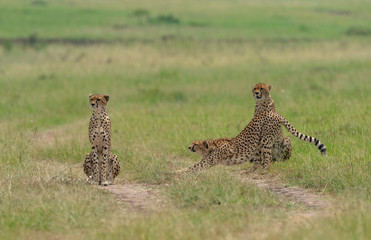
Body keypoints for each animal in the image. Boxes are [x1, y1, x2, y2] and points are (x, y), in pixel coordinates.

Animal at [179, 109, 326, 173]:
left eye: (195, 144)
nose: (189, 147)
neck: (212, 146)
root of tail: (274, 113)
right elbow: (193, 166)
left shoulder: (209, 161)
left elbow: (193, 167)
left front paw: (176, 173)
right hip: (258, 144)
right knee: (258, 160)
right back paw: (249, 171)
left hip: (266, 139)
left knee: (267, 158)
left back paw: (262, 171)